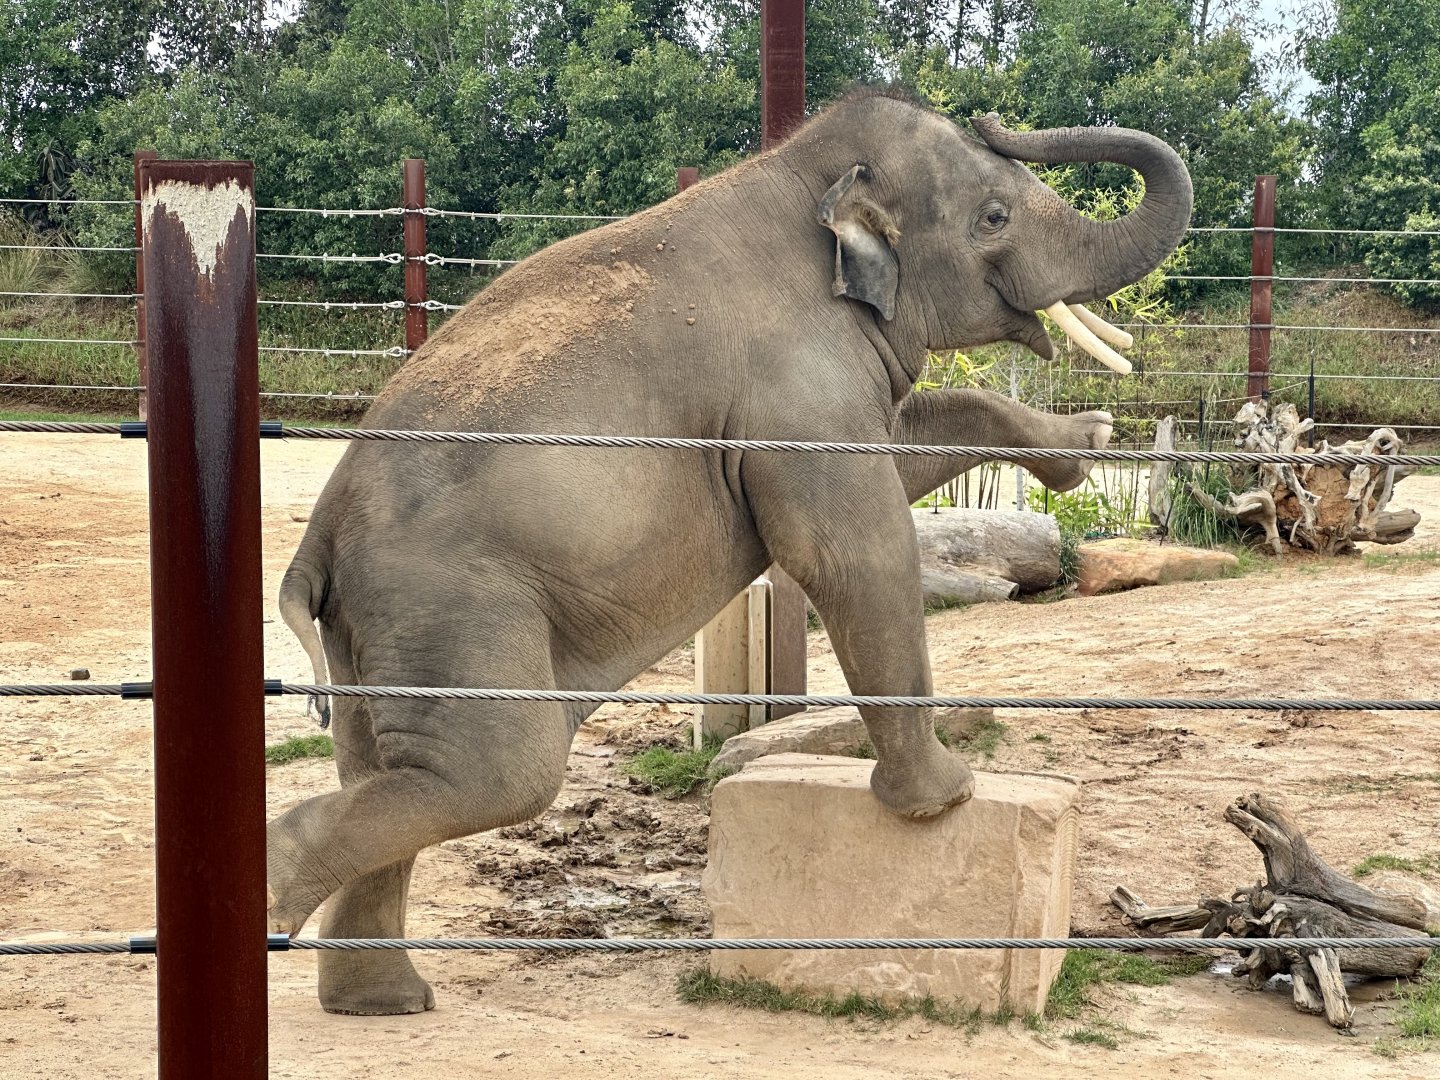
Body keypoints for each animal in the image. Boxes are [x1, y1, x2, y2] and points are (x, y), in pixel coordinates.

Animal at [272, 88, 1191, 1015]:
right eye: (994, 216)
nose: (997, 118)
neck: (806, 177)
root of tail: (318, 536)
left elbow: (909, 443)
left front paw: (1086, 442)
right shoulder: (795, 384)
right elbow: (850, 547)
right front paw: (945, 799)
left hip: (377, 630)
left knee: (384, 766)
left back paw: (381, 1001)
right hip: (446, 602)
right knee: (498, 773)